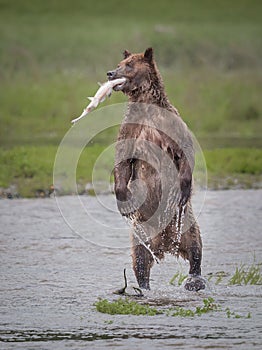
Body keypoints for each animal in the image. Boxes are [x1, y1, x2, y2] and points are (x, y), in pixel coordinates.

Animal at [107, 47, 206, 292]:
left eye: (129, 65)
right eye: (120, 63)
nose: (110, 73)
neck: (145, 105)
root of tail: (167, 244)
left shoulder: (170, 125)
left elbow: (184, 153)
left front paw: (184, 188)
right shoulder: (130, 129)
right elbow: (122, 160)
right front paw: (124, 200)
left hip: (186, 223)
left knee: (196, 247)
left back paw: (195, 280)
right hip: (141, 233)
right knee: (140, 259)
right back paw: (143, 286)